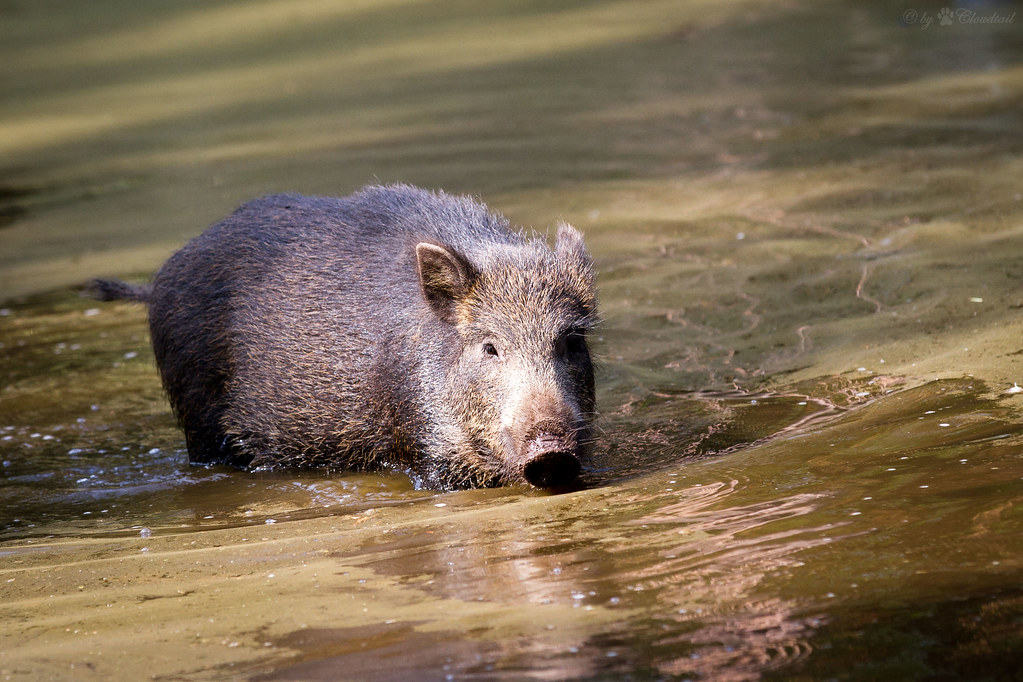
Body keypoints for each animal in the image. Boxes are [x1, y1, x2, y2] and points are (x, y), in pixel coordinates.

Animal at [92, 184, 599, 489]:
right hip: (197, 420)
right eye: (490, 347)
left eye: (572, 341)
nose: (552, 450)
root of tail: (158, 282)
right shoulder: (423, 442)